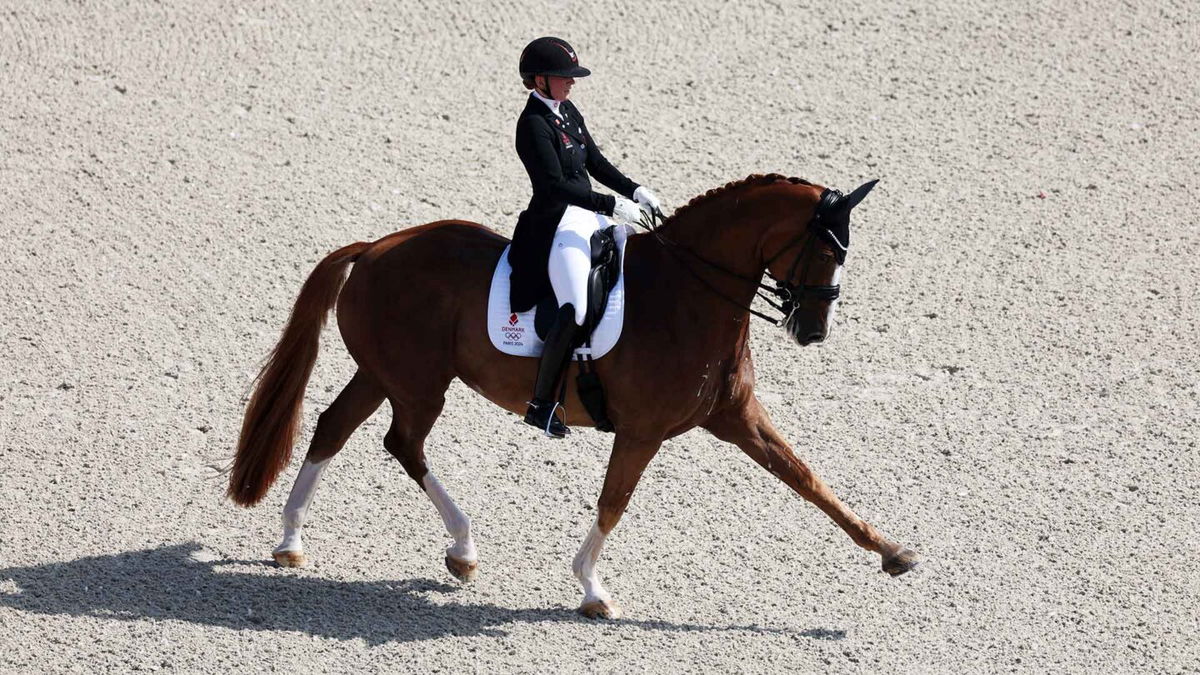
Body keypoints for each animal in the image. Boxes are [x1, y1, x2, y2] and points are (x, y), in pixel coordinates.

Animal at [226, 171, 916, 614]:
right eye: (824, 250)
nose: (813, 331)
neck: (689, 293)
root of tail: (374, 249)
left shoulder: (736, 417)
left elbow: (809, 480)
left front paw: (894, 553)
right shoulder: (642, 431)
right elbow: (614, 503)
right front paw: (591, 590)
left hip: (383, 374)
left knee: (334, 428)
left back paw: (291, 542)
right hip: (418, 384)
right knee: (401, 442)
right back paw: (462, 549)